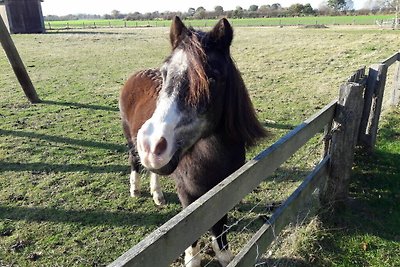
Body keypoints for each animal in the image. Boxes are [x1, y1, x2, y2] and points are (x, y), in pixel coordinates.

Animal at [120, 17, 268, 267]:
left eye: (212, 78)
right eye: (165, 74)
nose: (152, 145)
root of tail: (135, 75)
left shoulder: (225, 188)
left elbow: (219, 225)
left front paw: (224, 254)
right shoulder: (187, 193)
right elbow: (191, 228)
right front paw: (193, 258)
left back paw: (157, 195)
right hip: (130, 138)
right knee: (134, 161)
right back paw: (135, 189)